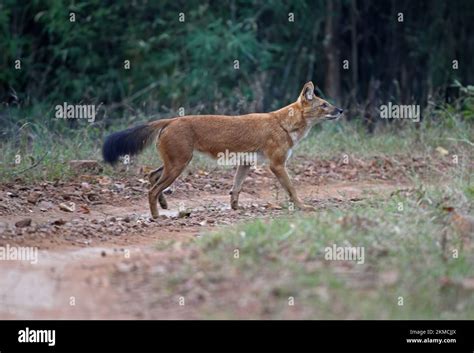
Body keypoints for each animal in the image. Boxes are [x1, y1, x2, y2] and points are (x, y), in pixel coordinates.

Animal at [103, 82, 340, 217]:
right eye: (324, 105)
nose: (341, 110)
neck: (284, 124)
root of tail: (171, 120)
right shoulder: (277, 165)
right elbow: (291, 189)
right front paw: (303, 207)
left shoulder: (245, 163)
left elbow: (236, 189)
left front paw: (235, 209)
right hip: (179, 165)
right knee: (152, 189)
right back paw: (155, 216)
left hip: (174, 163)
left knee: (152, 176)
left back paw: (163, 203)